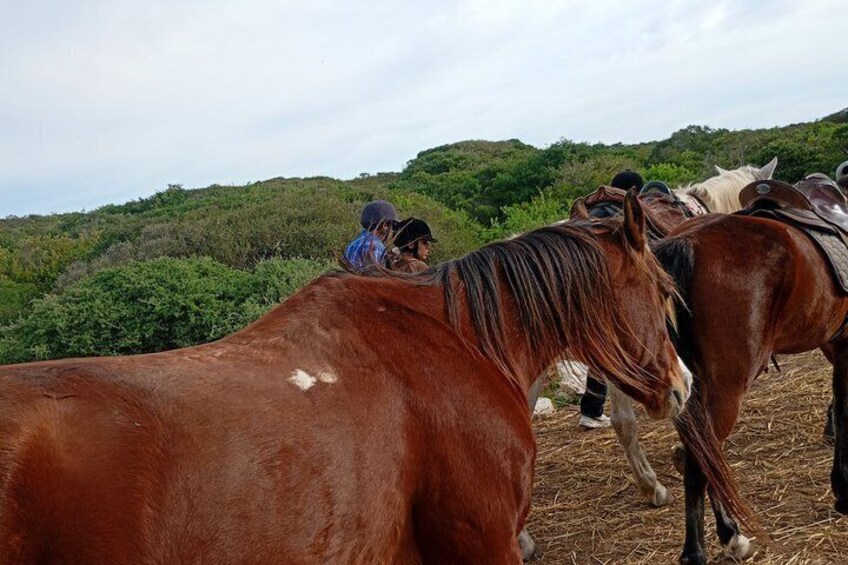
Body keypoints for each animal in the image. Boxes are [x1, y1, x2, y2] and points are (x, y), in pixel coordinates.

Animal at [650, 176, 848, 564]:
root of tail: (685, 242)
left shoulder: (835, 343)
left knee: (707, 455)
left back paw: (731, 535)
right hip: (726, 389)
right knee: (701, 461)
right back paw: (700, 549)